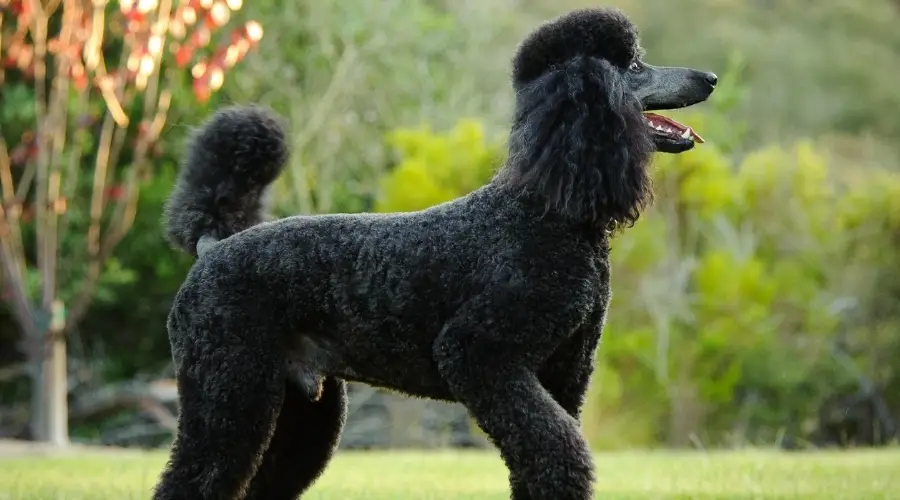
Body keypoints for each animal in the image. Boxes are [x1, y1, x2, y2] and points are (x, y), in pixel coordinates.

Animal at [155, 7, 716, 500]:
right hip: (228, 389)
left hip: (299, 408)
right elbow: (559, 453)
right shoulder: (478, 355)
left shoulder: (563, 375)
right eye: (635, 66)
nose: (709, 77)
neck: (542, 213)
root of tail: (210, 248)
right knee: (194, 479)